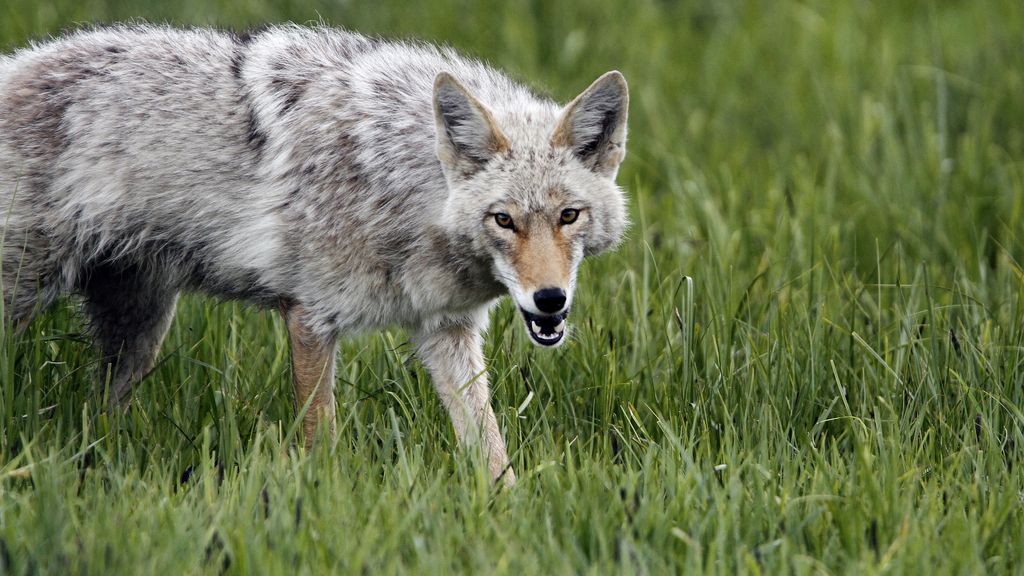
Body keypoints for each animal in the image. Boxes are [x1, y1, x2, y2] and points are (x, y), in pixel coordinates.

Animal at [0, 24, 628, 486]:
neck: (399, 186)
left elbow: (490, 447)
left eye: (568, 216)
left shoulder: (445, 329)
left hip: (139, 333)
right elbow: (320, 441)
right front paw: (325, 501)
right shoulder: (310, 319)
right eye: (504, 220)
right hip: (29, 301)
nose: (550, 301)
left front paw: (505, 511)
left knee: (101, 414)